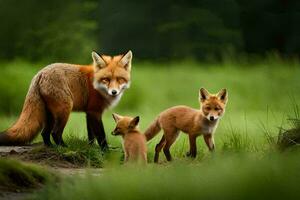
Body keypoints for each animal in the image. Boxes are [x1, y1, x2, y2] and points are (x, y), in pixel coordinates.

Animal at [0, 50, 132, 149]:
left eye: (120, 79)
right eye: (106, 79)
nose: (114, 92)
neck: (97, 85)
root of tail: (40, 73)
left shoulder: (89, 112)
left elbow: (91, 136)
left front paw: (91, 148)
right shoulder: (94, 112)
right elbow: (100, 135)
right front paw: (105, 151)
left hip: (50, 114)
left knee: (44, 133)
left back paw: (50, 147)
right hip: (64, 109)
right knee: (55, 132)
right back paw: (64, 148)